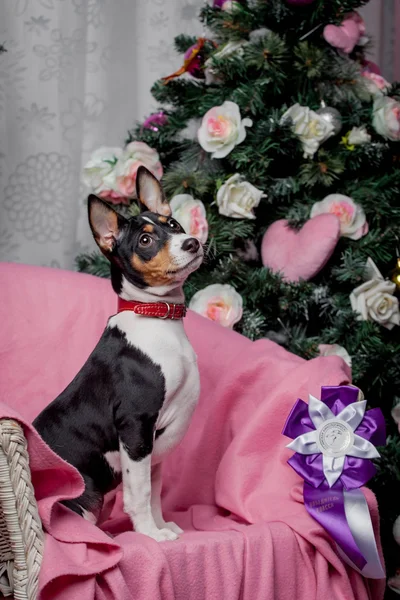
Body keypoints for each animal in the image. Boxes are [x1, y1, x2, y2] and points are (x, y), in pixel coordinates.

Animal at [33, 166, 203, 540]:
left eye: (174, 225)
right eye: (145, 241)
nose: (192, 242)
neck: (158, 319)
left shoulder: (154, 447)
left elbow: (155, 492)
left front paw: (161, 526)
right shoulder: (136, 427)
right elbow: (139, 493)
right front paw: (150, 536)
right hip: (87, 494)